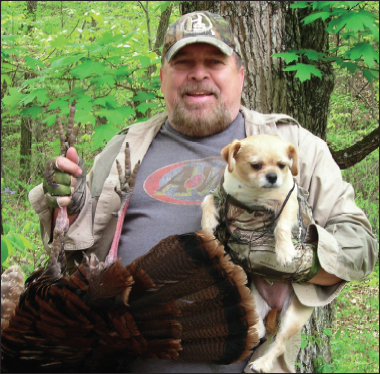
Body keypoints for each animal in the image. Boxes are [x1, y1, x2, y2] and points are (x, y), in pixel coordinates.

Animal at [200, 135, 314, 374]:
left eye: (282, 165)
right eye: (256, 165)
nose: (273, 177)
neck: (253, 195)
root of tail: (275, 305)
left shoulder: (287, 204)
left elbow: (281, 226)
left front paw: (284, 251)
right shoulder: (222, 196)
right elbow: (207, 200)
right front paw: (207, 224)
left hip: (292, 317)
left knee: (279, 343)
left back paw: (262, 363)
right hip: (253, 301)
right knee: (260, 330)